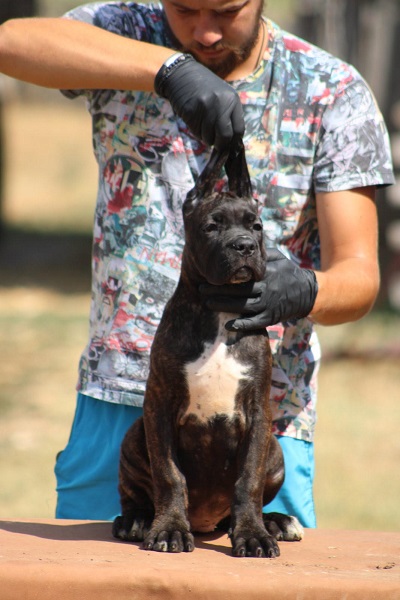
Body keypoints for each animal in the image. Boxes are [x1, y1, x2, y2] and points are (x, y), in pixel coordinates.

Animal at [112, 143, 304, 556]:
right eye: (211, 226)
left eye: (256, 226)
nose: (244, 246)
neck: (221, 312)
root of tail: (206, 522)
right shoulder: (159, 407)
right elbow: (169, 475)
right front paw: (168, 529)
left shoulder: (258, 414)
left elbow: (247, 481)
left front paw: (252, 533)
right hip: (134, 436)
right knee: (135, 493)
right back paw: (137, 520)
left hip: (275, 451)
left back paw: (276, 521)